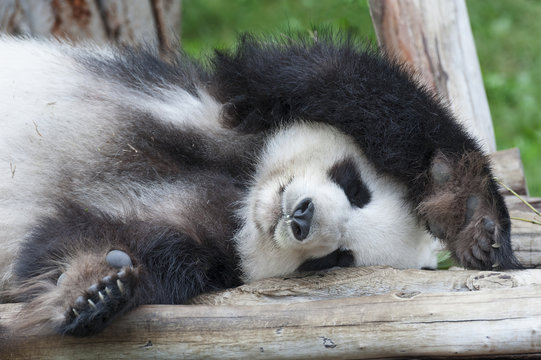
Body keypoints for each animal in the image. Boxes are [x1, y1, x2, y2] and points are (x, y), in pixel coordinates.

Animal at [0, 33, 524, 338]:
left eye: (336, 260)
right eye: (356, 188)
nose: (301, 217)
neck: (241, 195)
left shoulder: (209, 247)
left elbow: (84, 239)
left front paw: (95, 288)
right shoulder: (236, 104)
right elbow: (346, 82)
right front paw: (472, 214)